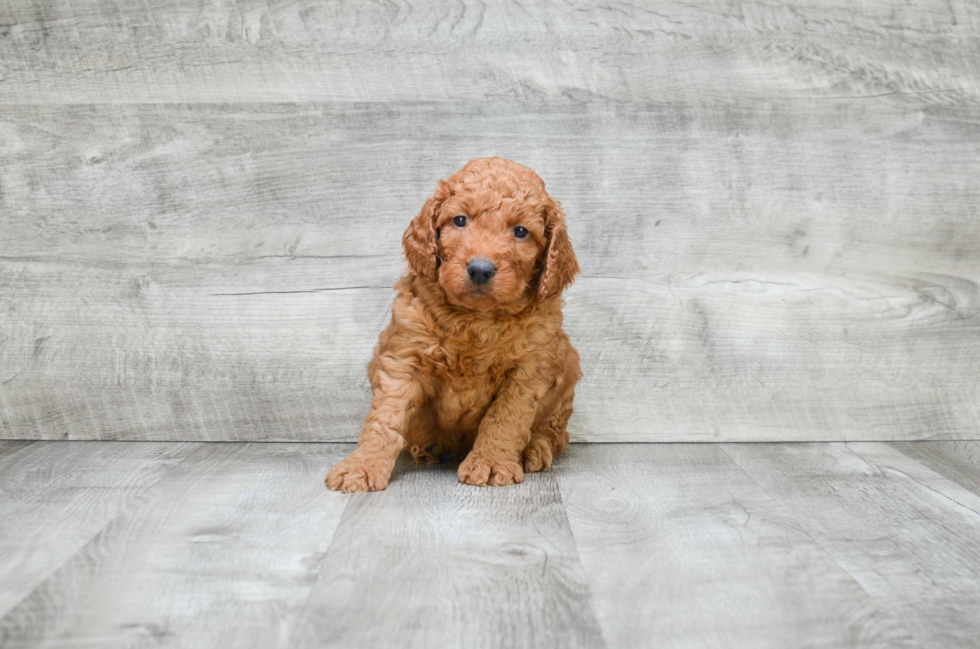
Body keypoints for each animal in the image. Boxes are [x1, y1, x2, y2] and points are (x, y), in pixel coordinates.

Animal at [326, 157, 580, 492]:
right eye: (460, 220)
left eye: (521, 231)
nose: (480, 269)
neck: (475, 319)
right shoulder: (404, 357)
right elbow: (385, 418)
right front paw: (362, 466)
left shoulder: (527, 370)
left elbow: (507, 419)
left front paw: (490, 462)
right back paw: (431, 446)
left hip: (567, 374)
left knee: (554, 433)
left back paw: (533, 449)